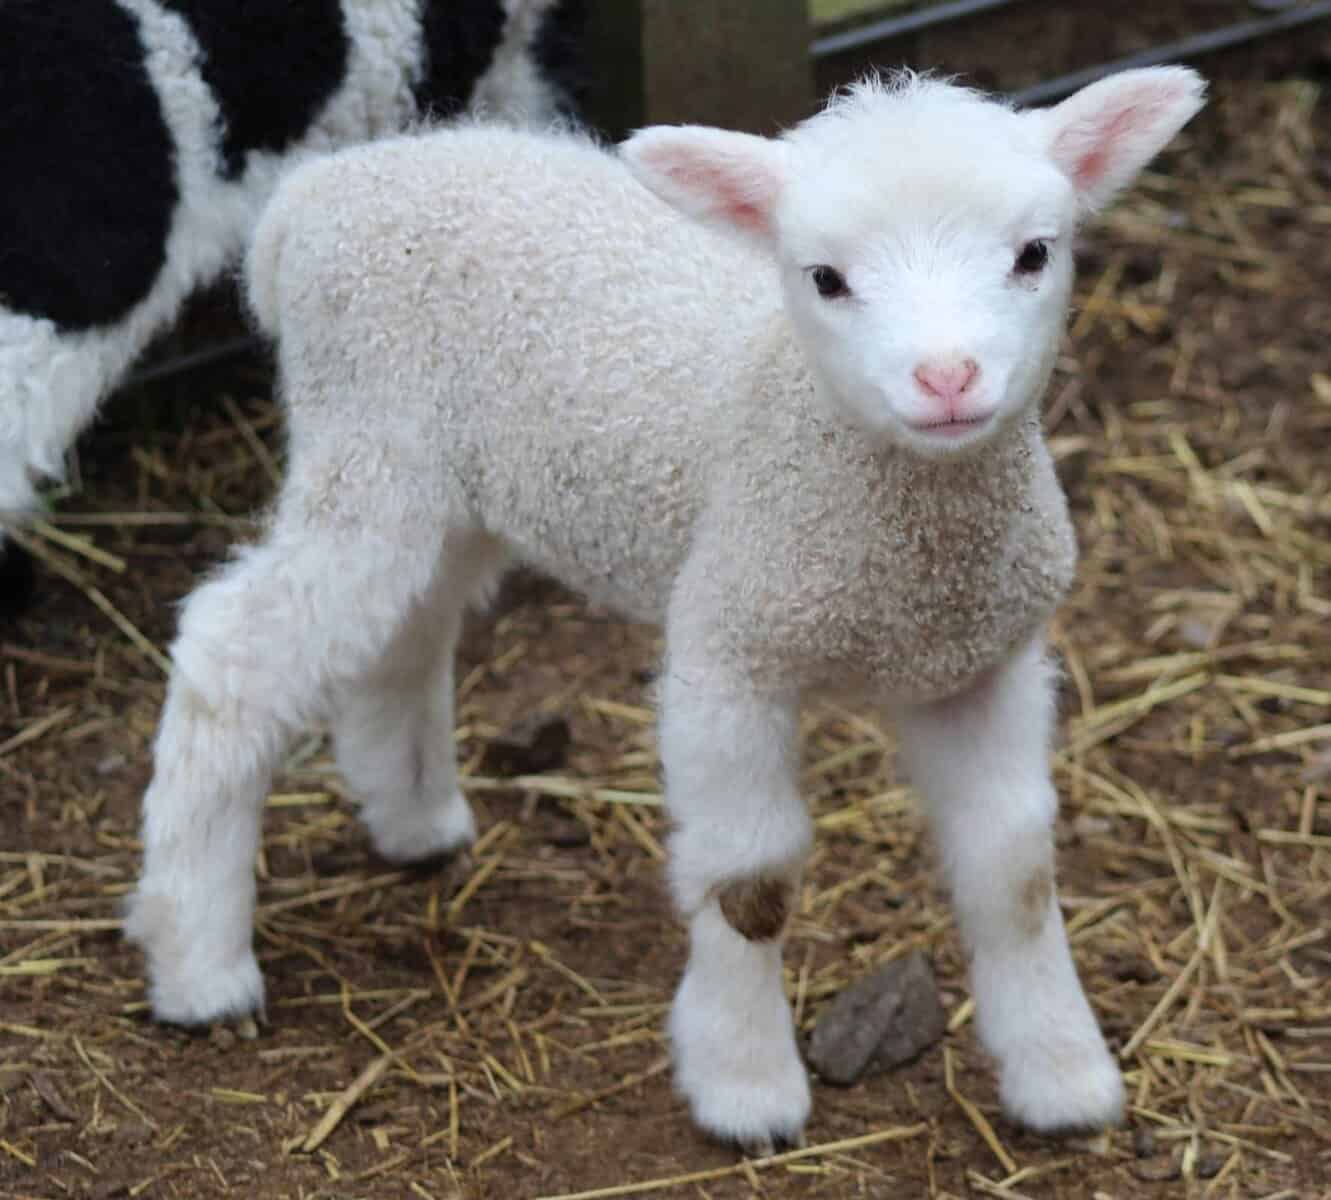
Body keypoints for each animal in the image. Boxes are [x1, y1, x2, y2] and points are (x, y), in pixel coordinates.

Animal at [125, 66, 1205, 1150]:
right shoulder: (730, 646)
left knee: (405, 636)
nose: (947, 378)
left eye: (1033, 253)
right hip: (369, 442)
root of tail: (311, 200)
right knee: (231, 653)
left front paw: (1061, 1075)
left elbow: (1013, 869)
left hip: (447, 485)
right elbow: (749, 881)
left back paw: (414, 816)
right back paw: (199, 963)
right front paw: (744, 1087)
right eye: (824, 277)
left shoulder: (983, 661)